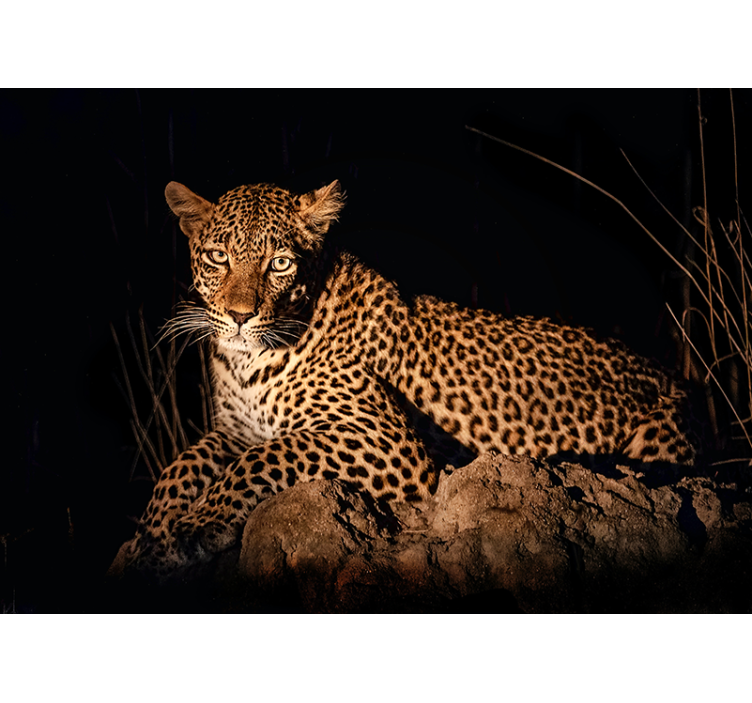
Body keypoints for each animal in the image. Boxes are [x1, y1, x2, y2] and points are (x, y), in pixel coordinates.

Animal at [108, 178, 698, 581]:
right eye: (217, 257)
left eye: (279, 263)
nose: (239, 315)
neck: (248, 362)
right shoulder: (235, 429)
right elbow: (180, 466)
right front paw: (146, 540)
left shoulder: (386, 441)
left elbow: (265, 457)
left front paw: (195, 527)